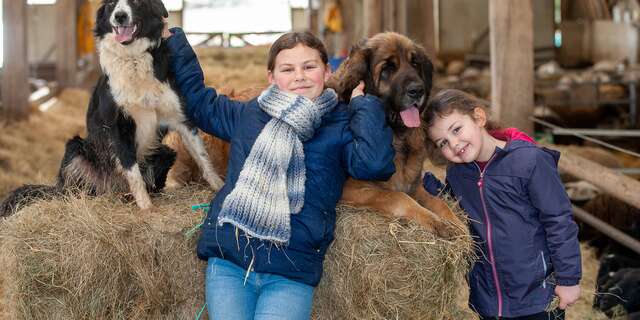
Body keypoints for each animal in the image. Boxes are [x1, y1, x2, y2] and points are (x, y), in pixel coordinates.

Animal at [0, 0, 224, 215]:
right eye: (111, 5)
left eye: (136, 2)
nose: (120, 16)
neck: (132, 57)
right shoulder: (118, 127)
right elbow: (132, 171)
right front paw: (146, 208)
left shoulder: (180, 117)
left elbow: (202, 157)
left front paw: (218, 185)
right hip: (75, 148)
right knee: (72, 190)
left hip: (165, 152)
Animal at [330, 33, 460, 238]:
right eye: (388, 68)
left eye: (415, 63)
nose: (418, 91)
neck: (396, 136)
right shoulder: (350, 189)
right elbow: (396, 196)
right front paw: (435, 222)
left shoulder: (415, 186)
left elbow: (438, 202)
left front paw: (459, 226)